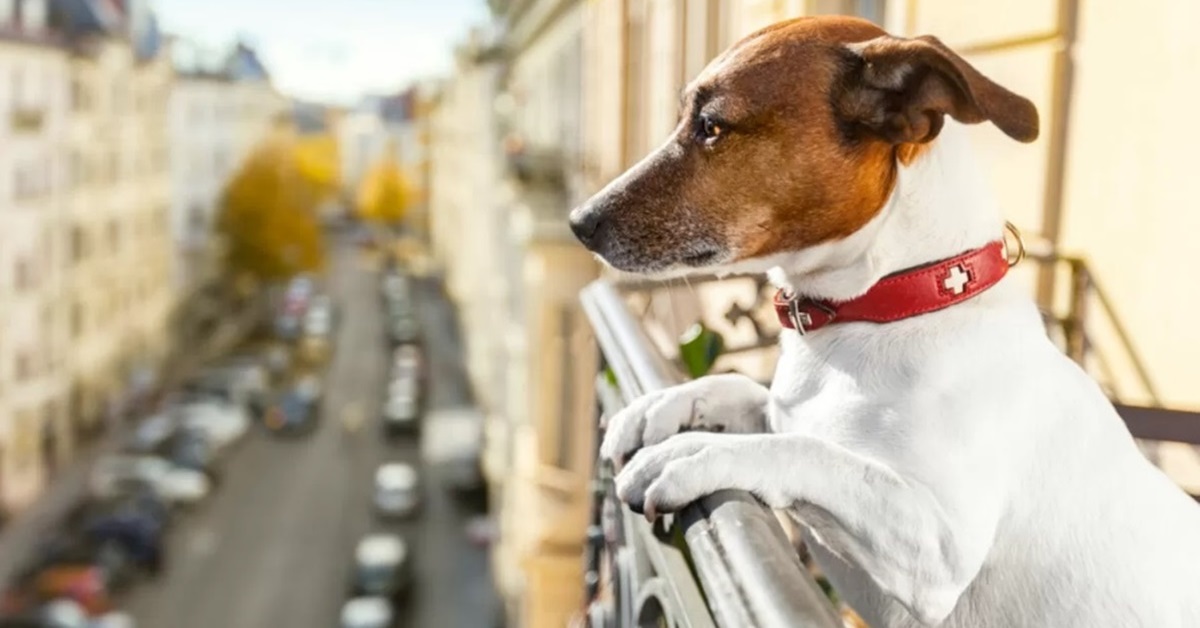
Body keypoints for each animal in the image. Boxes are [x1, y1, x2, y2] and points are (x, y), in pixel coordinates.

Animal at [566, 13, 1200, 628]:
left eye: (712, 126)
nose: (578, 221)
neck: (886, 304)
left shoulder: (939, 544)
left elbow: (809, 452)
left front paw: (693, 453)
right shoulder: (790, 409)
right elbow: (752, 395)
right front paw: (662, 407)